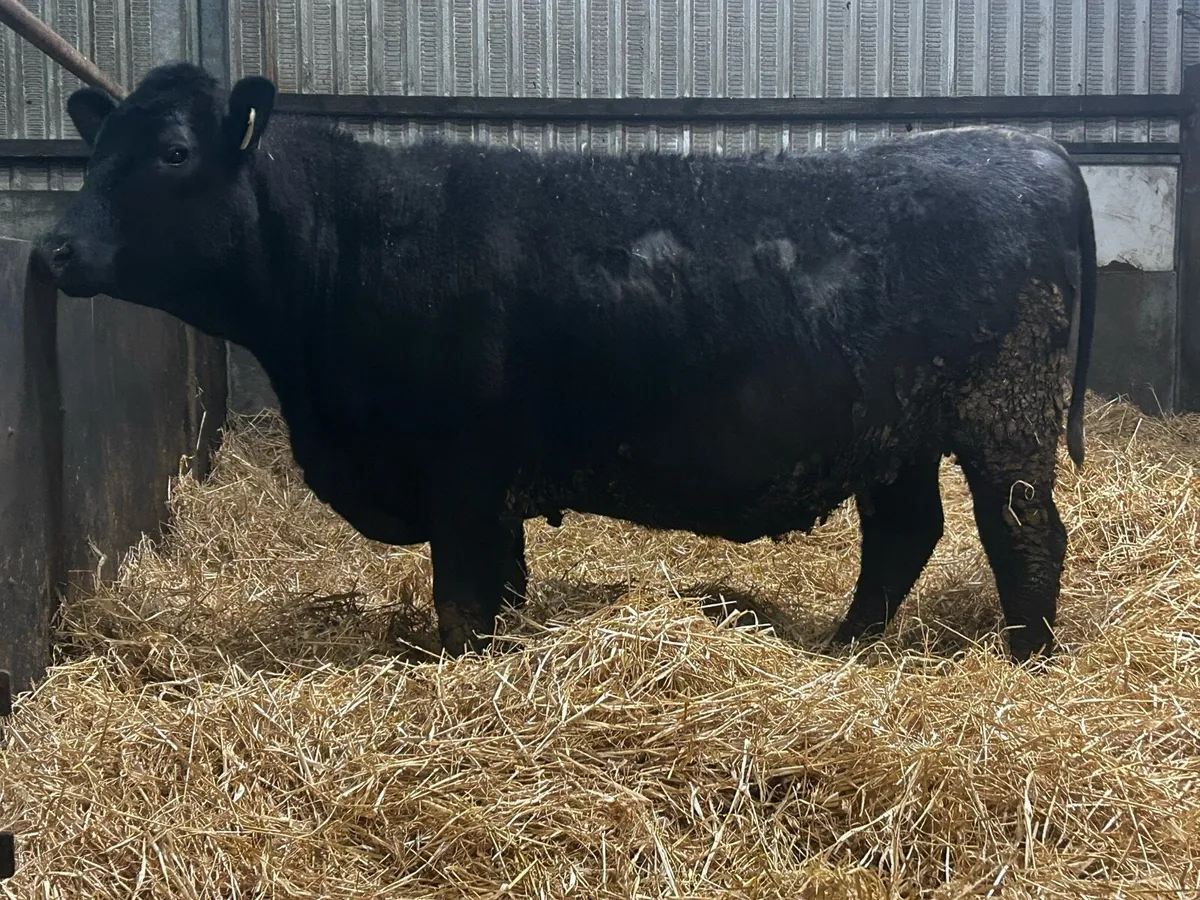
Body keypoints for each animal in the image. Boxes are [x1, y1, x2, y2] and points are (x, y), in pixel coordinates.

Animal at [35, 63, 1096, 664]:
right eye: (97, 146)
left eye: (174, 151)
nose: (51, 249)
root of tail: (1029, 146)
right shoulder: (490, 491)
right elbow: (502, 591)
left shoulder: (461, 476)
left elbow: (464, 603)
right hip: (890, 431)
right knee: (905, 535)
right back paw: (847, 650)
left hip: (1005, 418)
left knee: (1026, 538)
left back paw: (1025, 665)